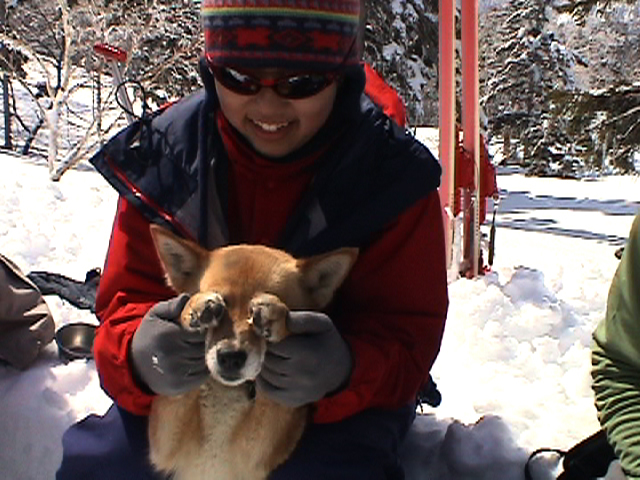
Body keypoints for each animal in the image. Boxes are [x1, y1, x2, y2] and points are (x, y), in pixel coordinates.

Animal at [147, 225, 358, 480]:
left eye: (251, 313)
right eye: (223, 304)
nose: (230, 358)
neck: (226, 395)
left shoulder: (255, 454)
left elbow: (273, 402)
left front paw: (275, 315)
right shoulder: (164, 441)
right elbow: (179, 391)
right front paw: (195, 306)